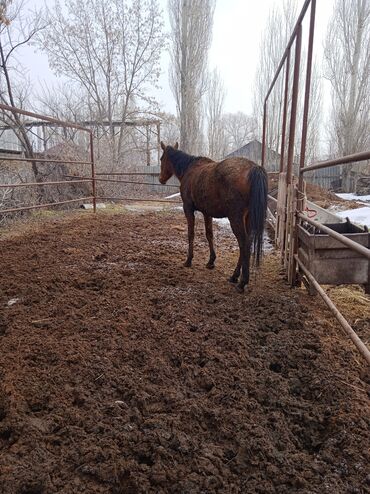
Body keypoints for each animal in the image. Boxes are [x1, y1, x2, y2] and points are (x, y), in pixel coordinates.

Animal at [158, 141, 268, 292]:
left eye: (161, 159)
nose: (161, 179)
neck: (189, 169)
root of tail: (254, 168)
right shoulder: (207, 212)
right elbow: (209, 234)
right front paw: (211, 261)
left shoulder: (188, 208)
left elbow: (191, 234)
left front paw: (188, 260)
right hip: (248, 218)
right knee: (247, 243)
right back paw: (234, 276)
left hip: (235, 218)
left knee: (243, 243)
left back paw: (242, 281)